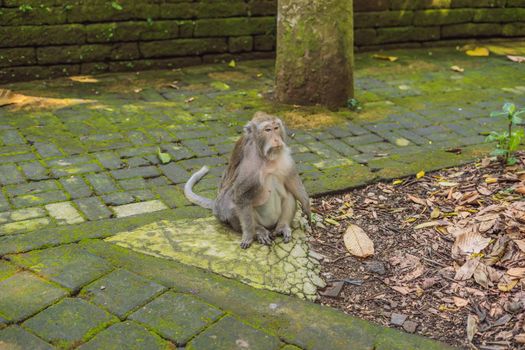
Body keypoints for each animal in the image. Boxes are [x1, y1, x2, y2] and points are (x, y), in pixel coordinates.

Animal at [183, 110, 310, 247]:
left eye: (276, 128)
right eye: (268, 130)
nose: (277, 139)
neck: (266, 157)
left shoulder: (284, 156)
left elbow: (292, 181)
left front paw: (307, 206)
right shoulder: (250, 163)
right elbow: (240, 195)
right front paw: (249, 235)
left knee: (289, 193)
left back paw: (283, 226)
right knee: (230, 202)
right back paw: (258, 231)